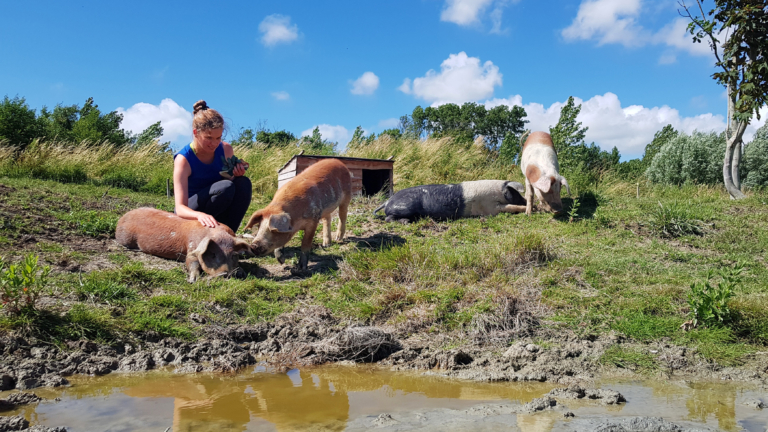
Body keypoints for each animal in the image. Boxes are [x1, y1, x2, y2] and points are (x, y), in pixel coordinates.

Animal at [115, 207, 252, 284]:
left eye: (234, 255)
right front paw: (192, 281)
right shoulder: (191, 249)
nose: (225, 274)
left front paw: (242, 273)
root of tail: (123, 217)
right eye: (212, 254)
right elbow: (191, 262)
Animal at [372, 181, 528, 224]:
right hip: (404, 206)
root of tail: (387, 201)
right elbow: (509, 207)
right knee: (387, 218)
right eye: (516, 192)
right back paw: (406, 222)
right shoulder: (491, 207)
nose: (526, 200)